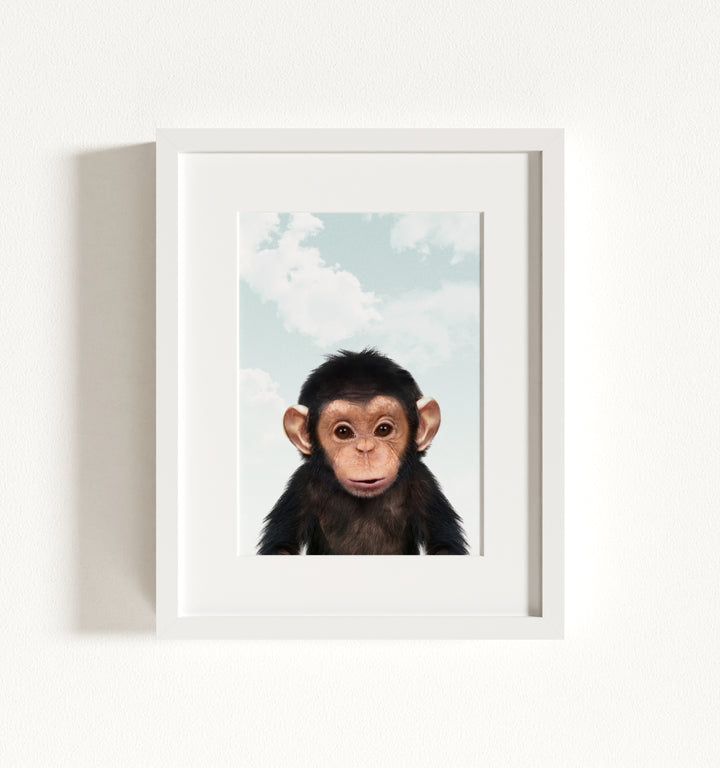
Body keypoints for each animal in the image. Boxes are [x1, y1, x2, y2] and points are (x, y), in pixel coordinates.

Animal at [257, 349, 468, 555]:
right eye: (343, 432)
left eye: (383, 429)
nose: (365, 450)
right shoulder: (300, 486)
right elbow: (282, 546)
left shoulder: (423, 483)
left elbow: (443, 545)